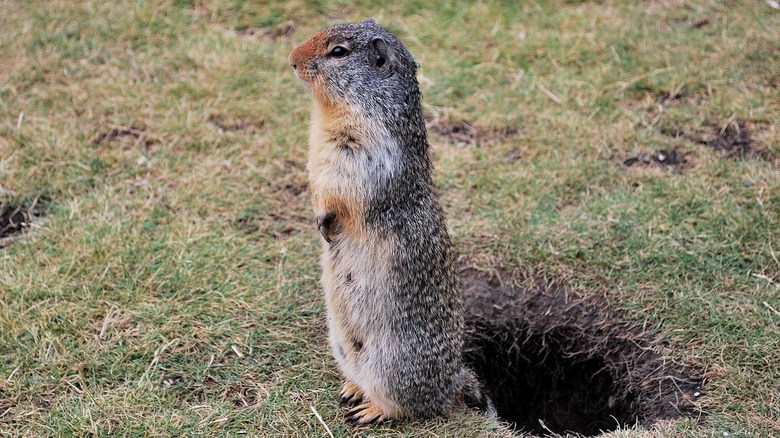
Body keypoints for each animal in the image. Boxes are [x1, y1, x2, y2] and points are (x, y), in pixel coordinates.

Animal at [286, 19, 494, 424]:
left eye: (338, 52)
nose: (291, 60)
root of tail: (453, 383)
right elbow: (316, 180)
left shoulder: (362, 150)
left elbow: (341, 190)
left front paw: (325, 222)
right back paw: (352, 389)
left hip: (394, 363)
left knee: (410, 407)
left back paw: (372, 410)